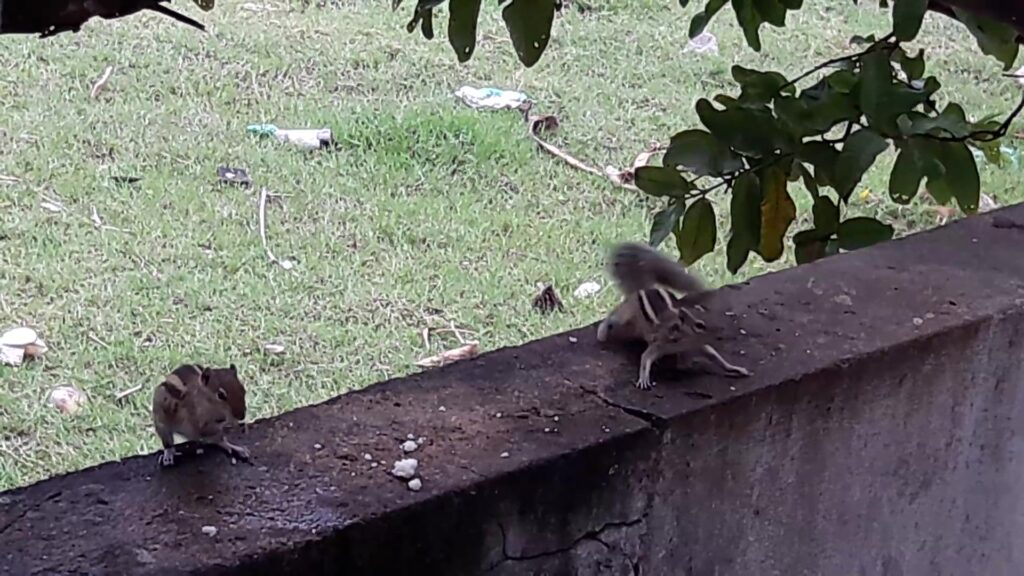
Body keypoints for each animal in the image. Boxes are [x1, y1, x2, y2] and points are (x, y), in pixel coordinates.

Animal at [596, 242, 752, 390]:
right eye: (699, 325)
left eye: (712, 313)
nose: (721, 331)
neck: (684, 338)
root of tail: (643, 288)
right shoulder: (660, 343)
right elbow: (645, 359)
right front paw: (644, 379)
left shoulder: (697, 345)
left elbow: (714, 356)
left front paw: (734, 368)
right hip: (626, 317)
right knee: (613, 318)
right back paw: (602, 332)